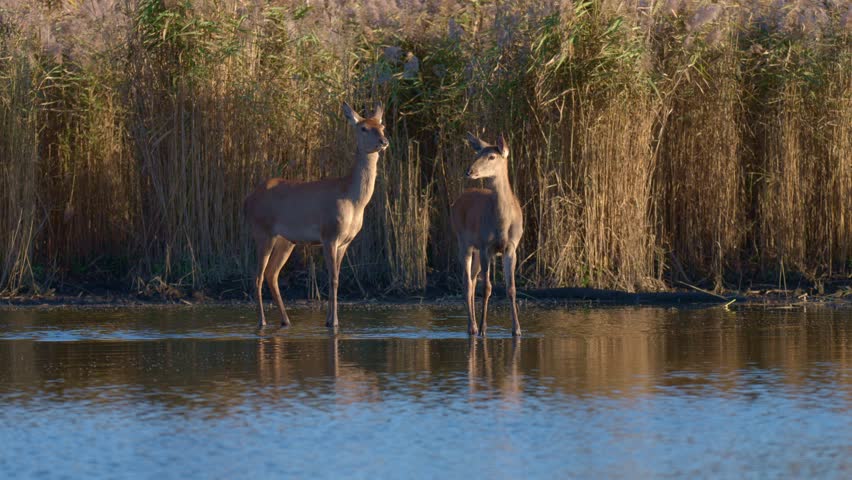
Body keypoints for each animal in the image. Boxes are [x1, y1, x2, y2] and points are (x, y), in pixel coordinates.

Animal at [244, 102, 388, 329]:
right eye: (363, 128)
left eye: (382, 126)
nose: (384, 141)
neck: (352, 199)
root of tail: (248, 200)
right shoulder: (329, 234)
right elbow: (334, 279)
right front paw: (334, 322)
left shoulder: (345, 241)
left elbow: (335, 278)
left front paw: (330, 320)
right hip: (262, 232)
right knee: (257, 276)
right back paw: (262, 322)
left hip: (286, 240)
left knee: (271, 274)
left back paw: (286, 320)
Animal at [451, 133, 524, 337]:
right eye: (477, 154)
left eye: (492, 156)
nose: (469, 171)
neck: (502, 223)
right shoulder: (486, 246)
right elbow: (488, 287)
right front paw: (484, 328)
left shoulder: (511, 247)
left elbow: (511, 288)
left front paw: (517, 329)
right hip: (463, 241)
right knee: (467, 283)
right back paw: (472, 327)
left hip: (474, 249)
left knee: (473, 280)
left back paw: (474, 324)